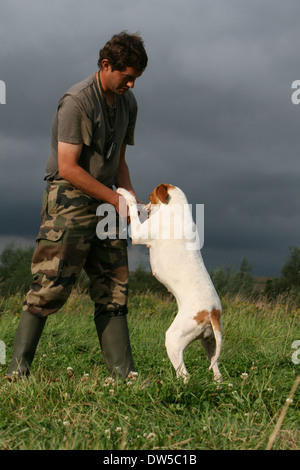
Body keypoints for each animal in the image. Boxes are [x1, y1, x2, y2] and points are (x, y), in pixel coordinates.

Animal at [117, 183, 223, 382]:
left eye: (150, 197)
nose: (146, 206)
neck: (178, 211)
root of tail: (212, 312)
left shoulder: (138, 234)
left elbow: (132, 204)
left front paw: (124, 193)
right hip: (210, 344)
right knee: (217, 374)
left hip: (173, 340)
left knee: (185, 376)